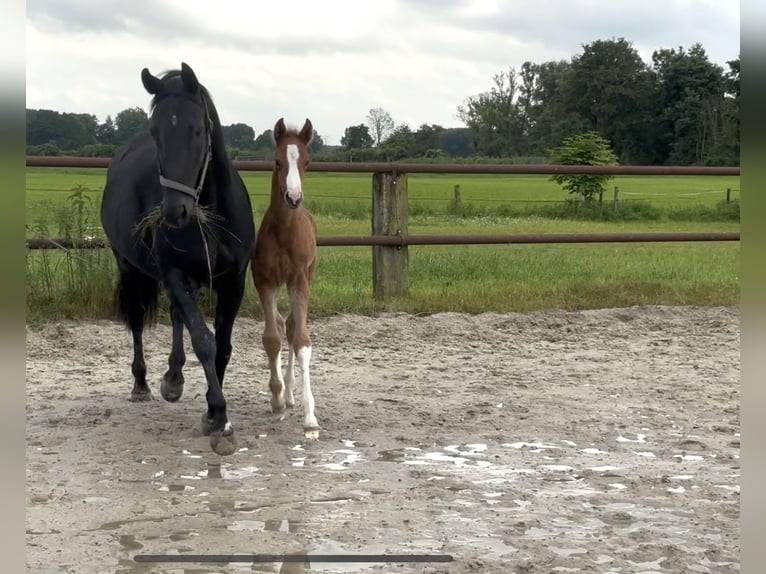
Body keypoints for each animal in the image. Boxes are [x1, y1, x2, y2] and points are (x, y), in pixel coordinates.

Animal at [100, 63, 256, 456]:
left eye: (197, 129)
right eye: (155, 131)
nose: (174, 212)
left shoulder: (233, 281)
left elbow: (223, 347)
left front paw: (210, 413)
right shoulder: (174, 274)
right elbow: (204, 341)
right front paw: (220, 419)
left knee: (174, 316)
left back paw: (174, 376)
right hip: (130, 268)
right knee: (137, 319)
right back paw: (142, 384)